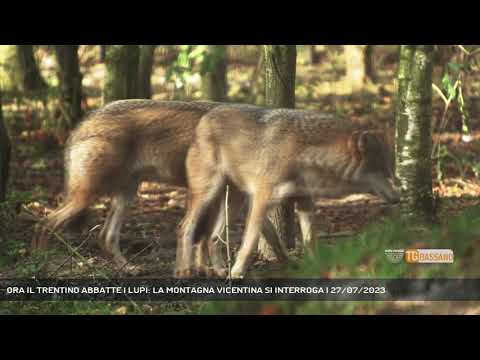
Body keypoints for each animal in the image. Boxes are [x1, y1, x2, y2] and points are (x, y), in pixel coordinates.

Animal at [178, 104, 400, 278]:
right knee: (186, 227)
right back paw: (185, 271)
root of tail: (205, 118)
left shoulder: (304, 201)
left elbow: (309, 240)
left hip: (235, 201)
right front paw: (238, 272)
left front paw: (315, 267)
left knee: (213, 237)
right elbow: (250, 243)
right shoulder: (261, 200)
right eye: (384, 172)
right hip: (209, 194)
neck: (304, 156)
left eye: (390, 170)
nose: (399, 197)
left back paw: (219, 270)